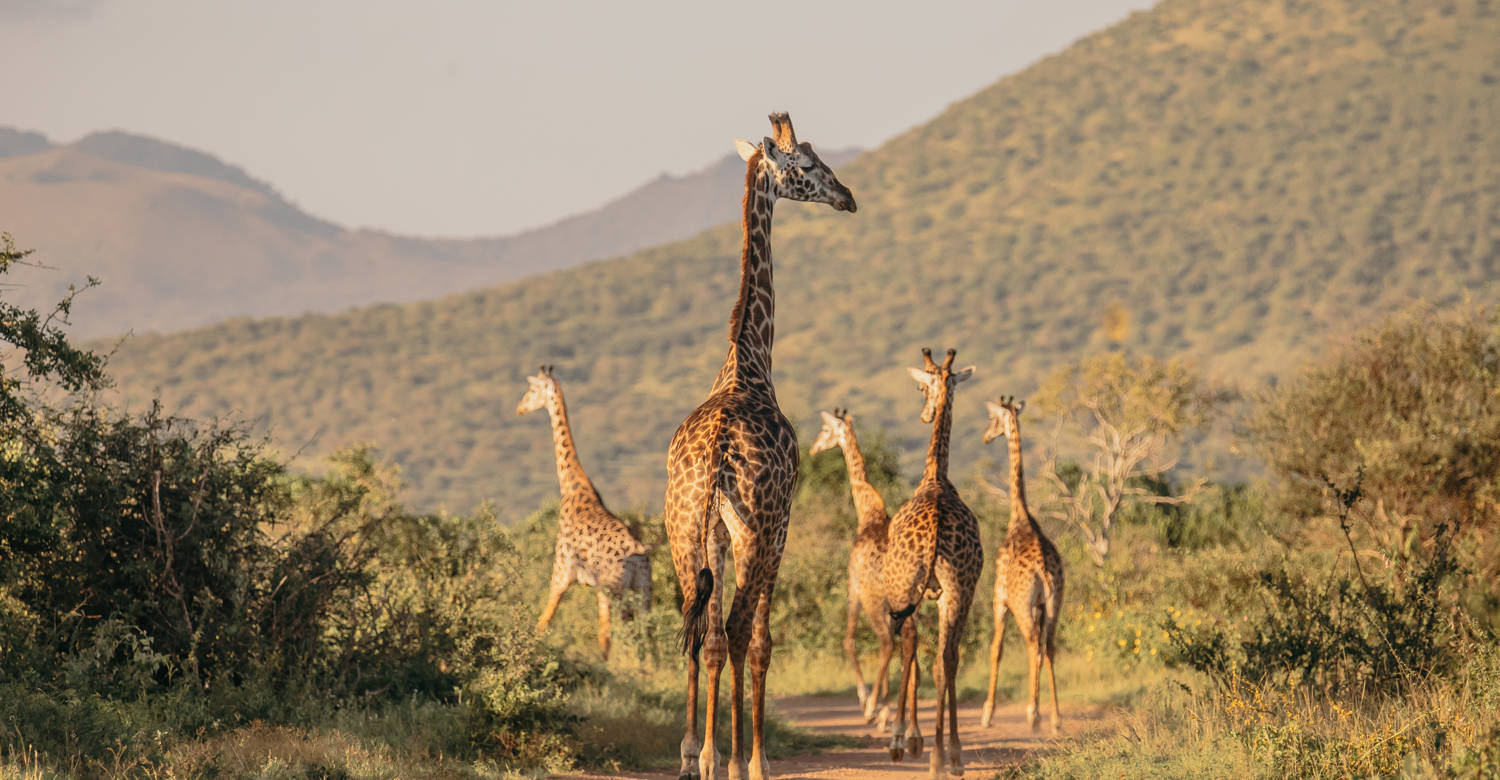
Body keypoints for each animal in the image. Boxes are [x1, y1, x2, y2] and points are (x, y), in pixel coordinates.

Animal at [516, 366, 651, 657]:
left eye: (531, 390)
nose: (519, 408)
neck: (573, 489)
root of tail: (638, 553)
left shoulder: (561, 571)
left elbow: (543, 621)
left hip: (611, 590)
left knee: (609, 636)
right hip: (644, 592)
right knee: (646, 636)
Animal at [666, 111, 858, 780]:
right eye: (808, 165)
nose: (847, 196)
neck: (747, 362)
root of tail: (717, 454)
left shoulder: (720, 533)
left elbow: (711, 636)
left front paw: (704, 753)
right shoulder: (780, 525)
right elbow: (762, 641)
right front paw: (753, 759)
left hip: (683, 527)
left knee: (703, 628)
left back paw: (695, 754)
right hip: (753, 529)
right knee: (738, 627)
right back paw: (732, 759)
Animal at [876, 349, 984, 780]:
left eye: (920, 387)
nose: (925, 414)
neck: (936, 476)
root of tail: (937, 528)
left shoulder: (909, 595)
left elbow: (909, 652)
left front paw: (903, 739)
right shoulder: (938, 594)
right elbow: (936, 660)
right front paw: (927, 743)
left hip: (907, 589)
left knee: (915, 650)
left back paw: (931, 752)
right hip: (960, 590)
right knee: (947, 660)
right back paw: (949, 756)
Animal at [978, 399, 1062, 735]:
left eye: (992, 419)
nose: (986, 437)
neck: (1020, 515)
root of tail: (1045, 572)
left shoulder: (999, 598)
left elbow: (995, 649)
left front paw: (987, 714)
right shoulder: (1039, 605)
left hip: (1023, 605)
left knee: (1031, 644)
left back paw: (1033, 715)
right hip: (1054, 603)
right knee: (1048, 645)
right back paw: (1055, 718)